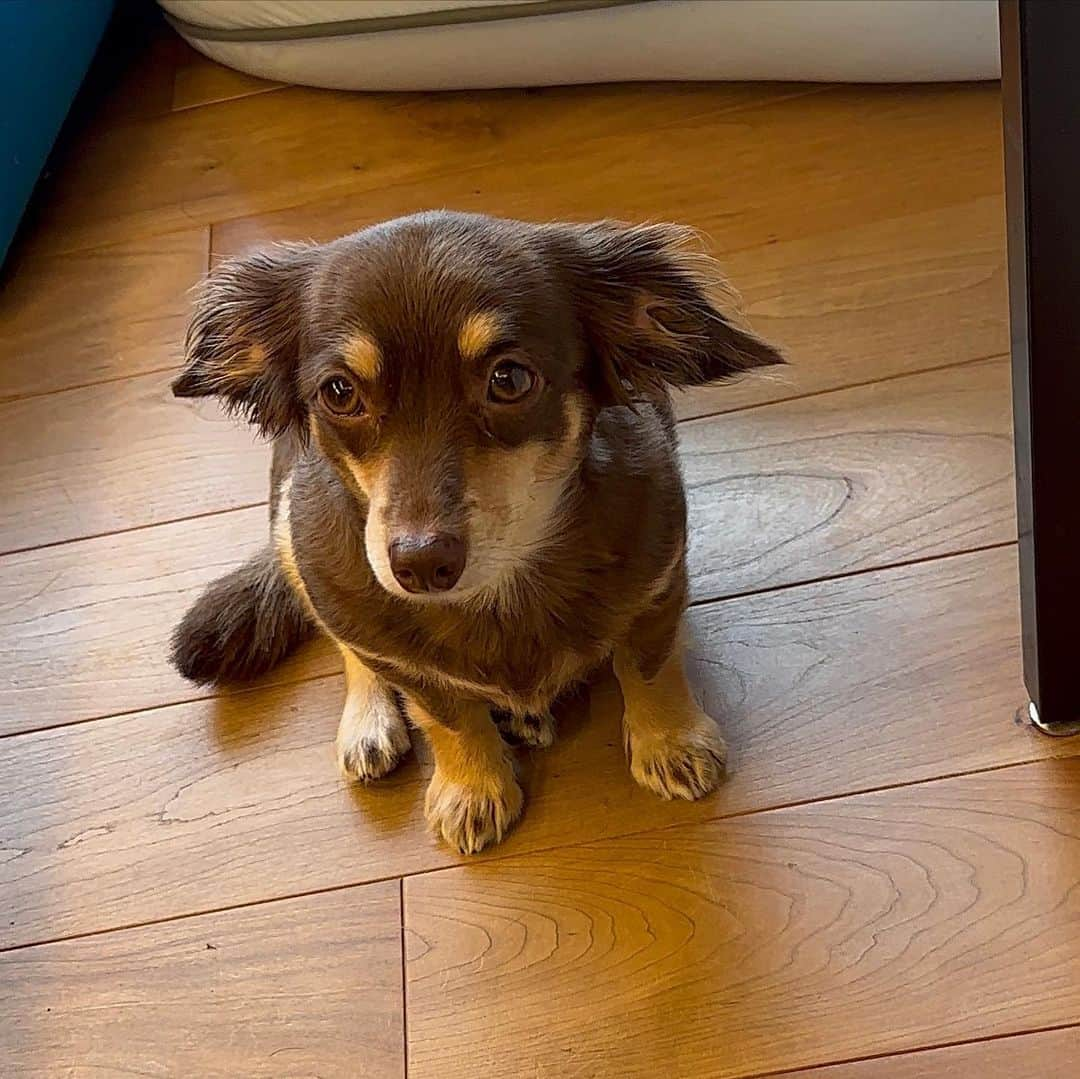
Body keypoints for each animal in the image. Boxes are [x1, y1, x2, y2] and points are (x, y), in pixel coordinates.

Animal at [168, 210, 781, 851]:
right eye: (339, 392)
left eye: (508, 379)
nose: (420, 564)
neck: (503, 583)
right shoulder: (397, 652)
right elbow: (447, 715)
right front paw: (473, 787)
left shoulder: (658, 584)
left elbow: (649, 667)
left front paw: (670, 743)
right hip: (295, 524)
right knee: (342, 640)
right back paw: (369, 722)